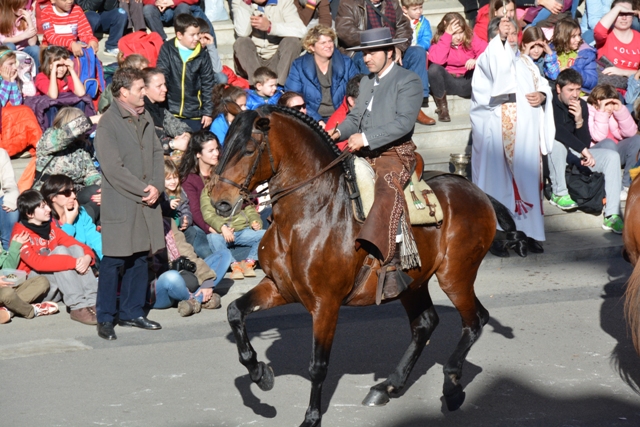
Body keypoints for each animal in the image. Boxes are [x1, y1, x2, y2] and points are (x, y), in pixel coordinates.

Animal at [211, 105, 504, 426]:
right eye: (223, 147)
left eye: (249, 150)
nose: (218, 202)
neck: (309, 214)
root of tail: (475, 190)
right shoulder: (279, 287)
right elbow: (234, 312)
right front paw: (259, 373)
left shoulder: (325, 304)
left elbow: (318, 365)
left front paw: (312, 417)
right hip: (413, 283)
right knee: (425, 324)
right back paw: (388, 386)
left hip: (455, 276)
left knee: (475, 321)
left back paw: (451, 386)